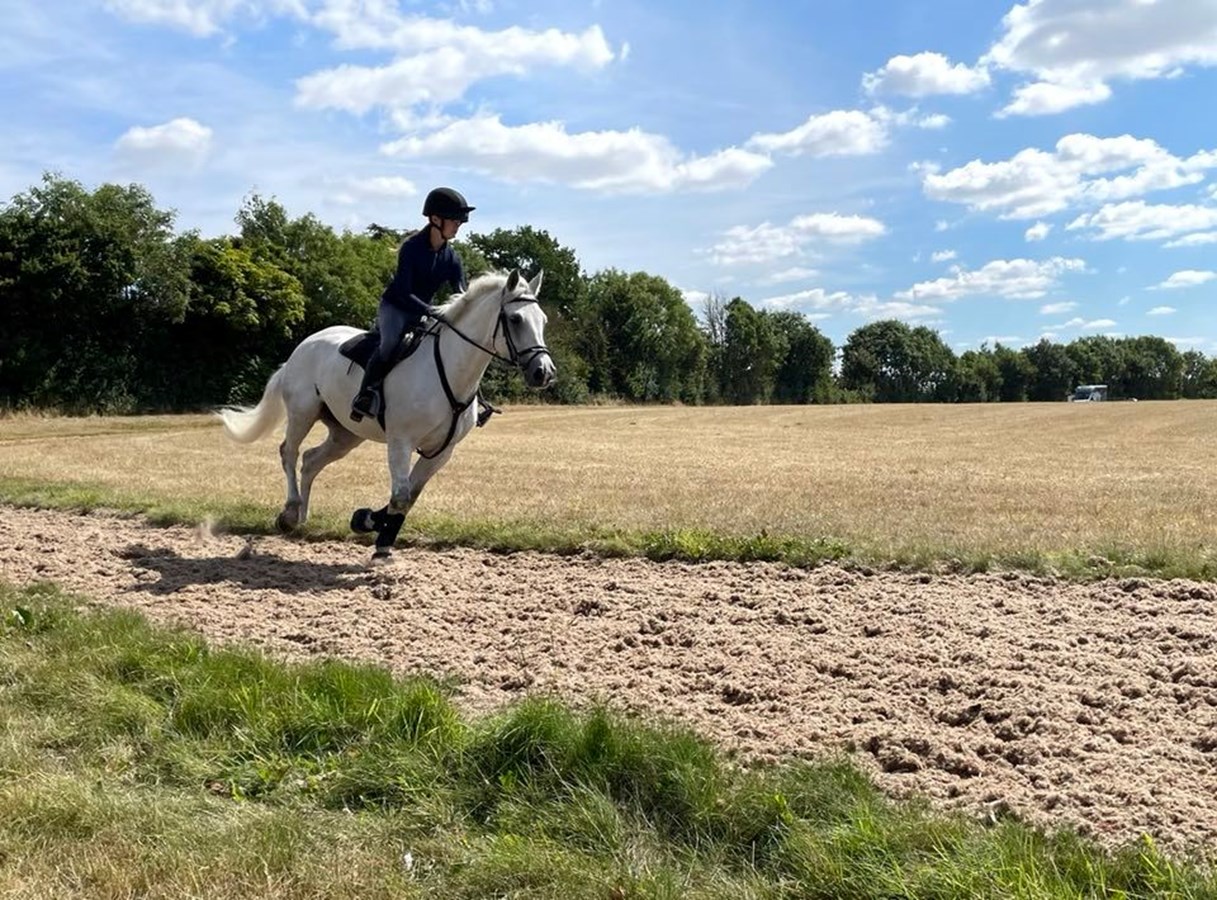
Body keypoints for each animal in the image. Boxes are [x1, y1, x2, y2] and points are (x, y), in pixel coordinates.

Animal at [215, 268, 557, 554]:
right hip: (303, 412)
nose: (544, 372)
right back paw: (289, 511)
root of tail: (301, 348)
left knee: (311, 461)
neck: (451, 369)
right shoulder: (400, 441)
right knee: (289, 452)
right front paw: (380, 540)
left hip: (346, 433)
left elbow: (410, 496)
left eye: (543, 320)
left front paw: (366, 520)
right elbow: (401, 495)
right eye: (516, 320)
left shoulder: (442, 451)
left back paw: (303, 516)